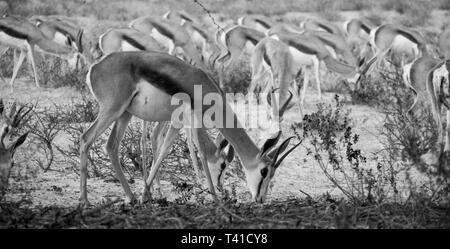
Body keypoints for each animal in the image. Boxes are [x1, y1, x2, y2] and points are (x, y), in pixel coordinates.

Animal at [80, 51, 298, 206]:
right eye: (264, 171)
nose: (261, 199)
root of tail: (95, 67)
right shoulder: (191, 119)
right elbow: (199, 152)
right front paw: (214, 198)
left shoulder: (177, 122)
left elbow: (164, 150)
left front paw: (145, 195)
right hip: (113, 109)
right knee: (86, 139)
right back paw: (85, 201)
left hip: (125, 113)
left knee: (111, 146)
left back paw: (131, 198)